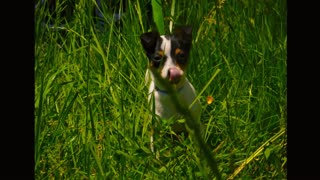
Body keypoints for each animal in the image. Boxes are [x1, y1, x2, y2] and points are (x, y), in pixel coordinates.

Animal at [139, 26, 200, 154]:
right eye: (157, 58)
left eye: (181, 55)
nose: (174, 72)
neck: (172, 94)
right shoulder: (156, 127)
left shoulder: (194, 123)